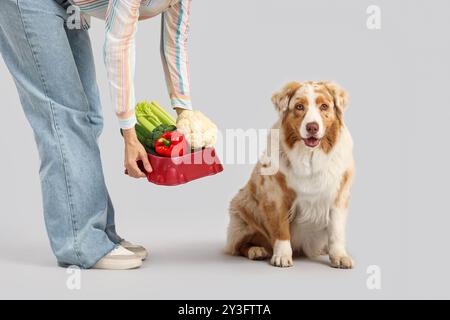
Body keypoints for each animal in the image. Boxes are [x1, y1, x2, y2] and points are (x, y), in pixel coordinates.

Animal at [225, 81, 356, 268]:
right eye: (299, 107)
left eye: (324, 106)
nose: (312, 127)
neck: (310, 156)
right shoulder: (275, 196)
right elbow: (281, 230)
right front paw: (282, 256)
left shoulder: (339, 195)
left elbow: (336, 231)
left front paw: (339, 256)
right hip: (241, 212)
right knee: (240, 244)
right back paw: (256, 250)